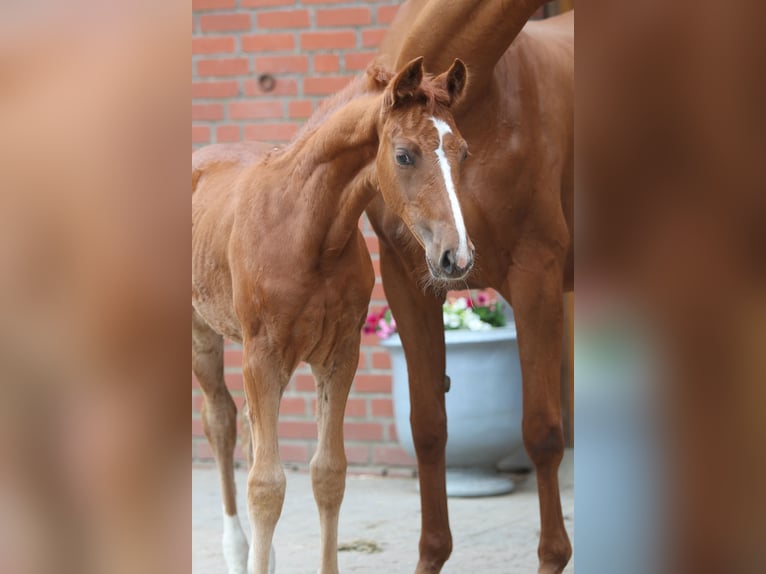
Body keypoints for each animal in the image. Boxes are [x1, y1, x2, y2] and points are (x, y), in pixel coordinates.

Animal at [190, 59, 474, 574]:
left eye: (463, 152)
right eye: (404, 155)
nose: (456, 257)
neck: (306, 229)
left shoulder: (339, 356)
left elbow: (328, 473)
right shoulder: (263, 357)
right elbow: (266, 486)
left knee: (250, 434)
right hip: (204, 335)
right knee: (220, 422)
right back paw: (238, 551)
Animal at [298, 1, 568, 574]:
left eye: (463, 154)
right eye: (403, 156)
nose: (459, 256)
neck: (488, 94)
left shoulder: (538, 272)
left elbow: (542, 431)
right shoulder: (408, 278)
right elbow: (427, 428)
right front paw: (432, 555)